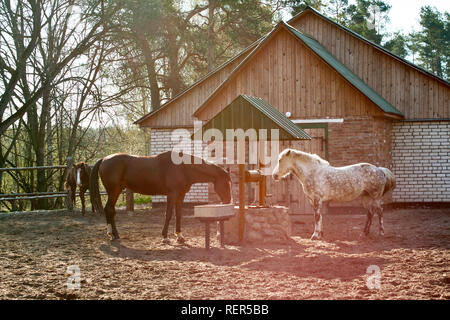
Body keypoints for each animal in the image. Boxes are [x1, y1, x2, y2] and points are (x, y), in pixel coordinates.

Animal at [90, 151, 234, 244]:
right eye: (226, 183)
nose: (228, 201)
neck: (182, 167)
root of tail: (104, 159)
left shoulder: (180, 195)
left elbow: (178, 215)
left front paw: (179, 236)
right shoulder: (172, 194)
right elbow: (168, 214)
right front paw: (165, 237)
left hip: (116, 191)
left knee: (111, 210)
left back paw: (115, 235)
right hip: (114, 191)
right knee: (109, 209)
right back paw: (111, 234)